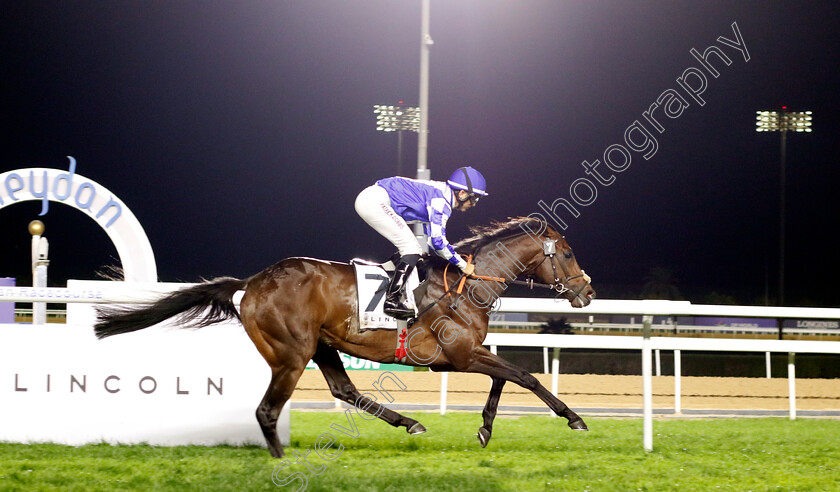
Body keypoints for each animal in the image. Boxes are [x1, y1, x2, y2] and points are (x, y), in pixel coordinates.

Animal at [95, 216, 592, 458]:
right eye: (567, 253)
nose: (587, 291)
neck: (466, 285)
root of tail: (253, 282)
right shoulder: (460, 355)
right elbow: (523, 376)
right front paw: (573, 418)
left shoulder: (467, 354)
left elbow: (504, 378)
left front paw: (485, 428)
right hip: (291, 354)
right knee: (268, 409)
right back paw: (280, 459)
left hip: (322, 346)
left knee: (344, 390)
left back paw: (408, 422)